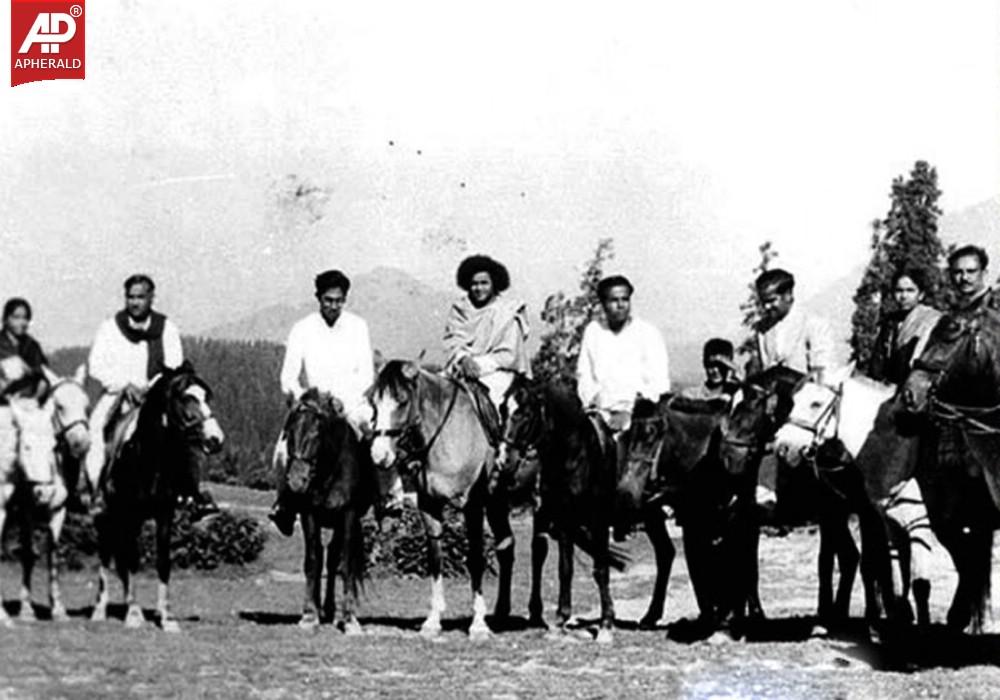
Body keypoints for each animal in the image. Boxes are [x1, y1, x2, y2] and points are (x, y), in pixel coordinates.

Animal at [90, 364, 225, 632]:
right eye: (186, 398)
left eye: (207, 397)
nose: (216, 439)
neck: (150, 459)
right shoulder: (130, 514)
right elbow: (132, 560)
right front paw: (133, 614)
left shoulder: (164, 515)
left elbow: (162, 562)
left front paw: (166, 617)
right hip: (109, 518)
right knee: (107, 555)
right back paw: (101, 610)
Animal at [278, 392, 376, 632]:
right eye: (289, 434)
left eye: (316, 434)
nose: (297, 480)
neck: (329, 472)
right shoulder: (309, 514)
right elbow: (312, 561)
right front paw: (309, 615)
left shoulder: (348, 515)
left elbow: (345, 564)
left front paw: (350, 619)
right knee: (323, 556)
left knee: (332, 559)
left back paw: (331, 610)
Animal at [498, 378, 628, 644]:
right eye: (502, 409)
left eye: (524, 413)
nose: (504, 459)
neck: (573, 456)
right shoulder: (564, 520)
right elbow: (565, 569)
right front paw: (560, 620)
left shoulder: (599, 521)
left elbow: (601, 569)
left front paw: (606, 625)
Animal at [776, 366, 940, 624]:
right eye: (793, 401)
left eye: (816, 403)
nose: (782, 447)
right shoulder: (876, 517)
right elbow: (885, 568)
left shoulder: (911, 520)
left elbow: (910, 578)